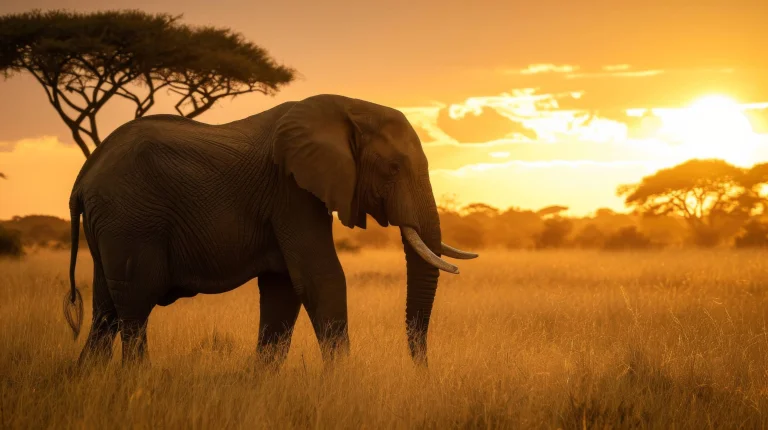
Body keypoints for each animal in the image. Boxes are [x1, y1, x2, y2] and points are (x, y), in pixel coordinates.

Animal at [63, 94, 478, 369]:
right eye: (392, 169)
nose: (421, 372)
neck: (348, 106)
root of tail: (83, 177)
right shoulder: (290, 189)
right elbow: (321, 277)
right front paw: (344, 384)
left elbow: (283, 288)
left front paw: (258, 383)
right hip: (131, 219)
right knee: (135, 301)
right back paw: (137, 380)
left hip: (112, 225)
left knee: (106, 308)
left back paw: (88, 380)